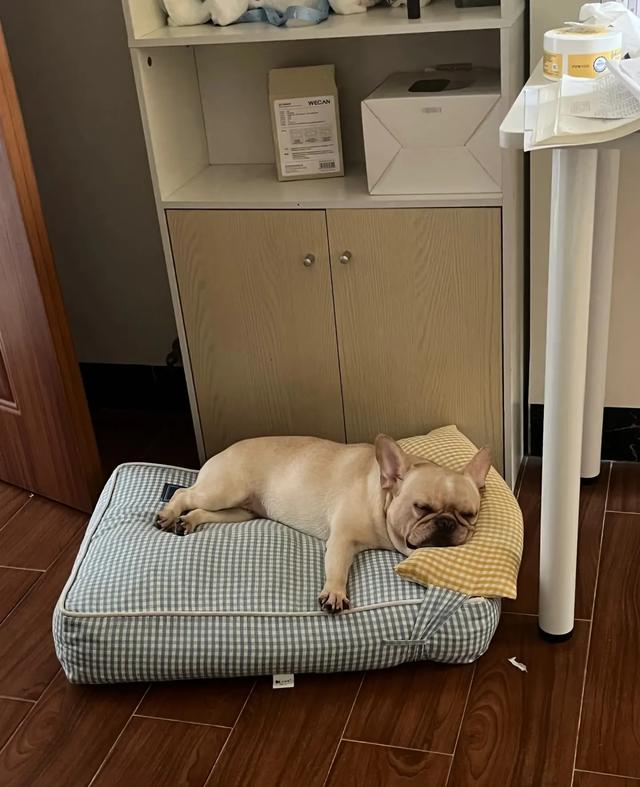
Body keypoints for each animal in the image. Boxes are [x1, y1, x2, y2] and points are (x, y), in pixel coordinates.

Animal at [156, 435, 491, 612]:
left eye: (469, 514)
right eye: (421, 508)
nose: (446, 523)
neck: (382, 502)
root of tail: (221, 453)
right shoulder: (341, 540)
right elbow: (337, 567)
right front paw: (335, 594)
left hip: (242, 510)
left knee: (203, 510)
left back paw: (187, 522)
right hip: (225, 490)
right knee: (185, 494)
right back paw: (169, 515)